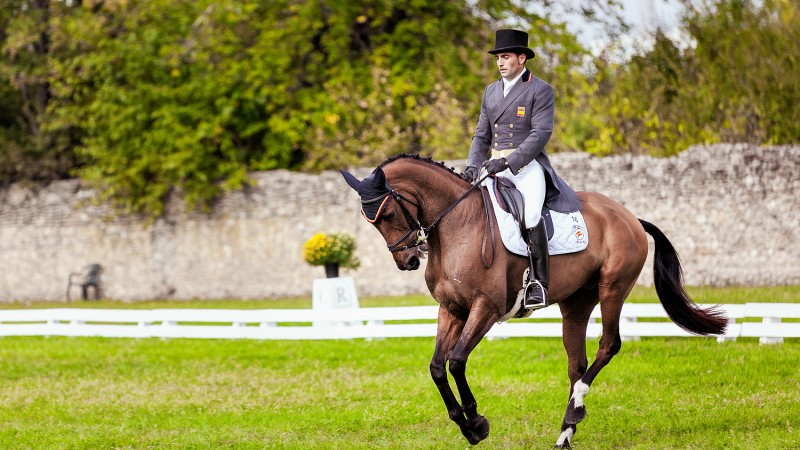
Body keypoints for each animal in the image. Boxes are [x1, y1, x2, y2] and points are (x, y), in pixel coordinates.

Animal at [340, 154, 726, 449]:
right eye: (370, 221)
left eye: (389, 214)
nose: (408, 260)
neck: (457, 226)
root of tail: (628, 215)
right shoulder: (451, 310)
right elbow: (437, 367)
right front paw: (466, 425)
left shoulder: (486, 308)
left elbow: (456, 361)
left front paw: (476, 422)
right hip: (577, 302)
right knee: (576, 362)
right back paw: (566, 431)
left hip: (613, 288)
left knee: (608, 346)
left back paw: (575, 410)